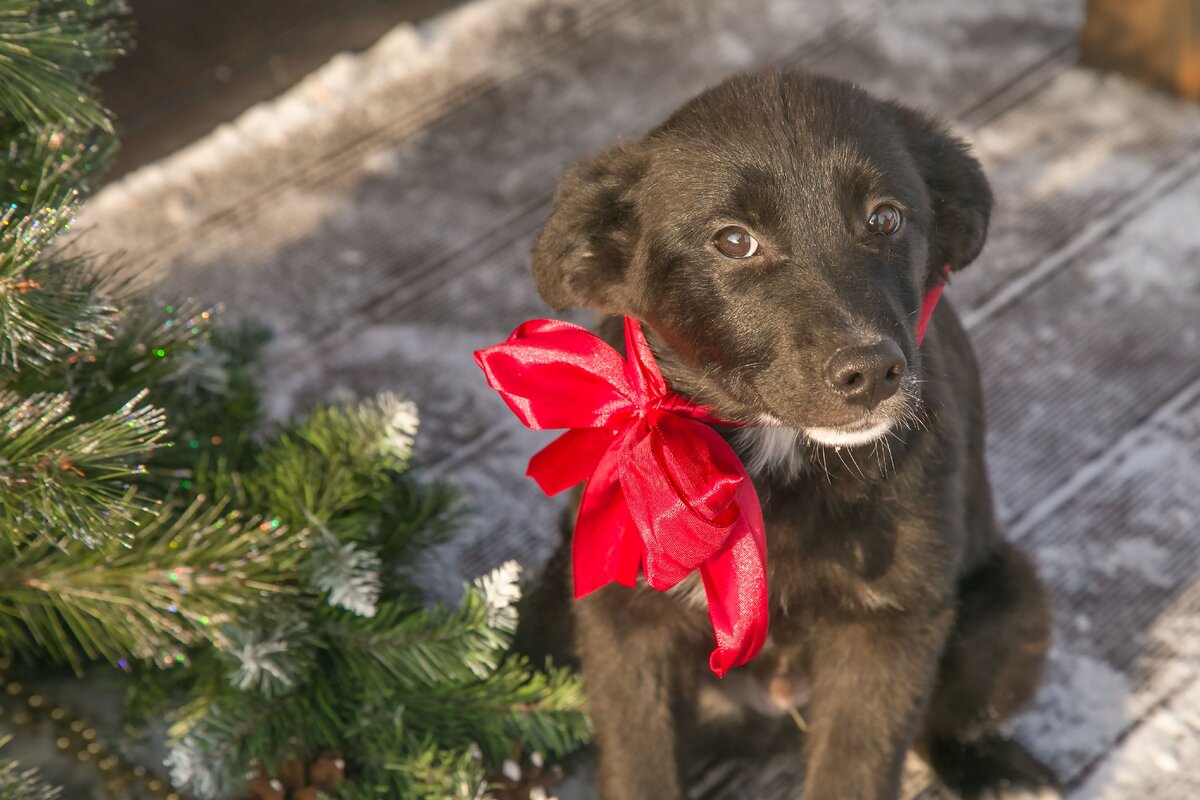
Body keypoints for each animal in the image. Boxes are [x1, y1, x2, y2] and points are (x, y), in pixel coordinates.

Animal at [525, 70, 1060, 800]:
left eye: (885, 218)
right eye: (734, 241)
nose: (873, 373)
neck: (776, 450)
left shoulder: (891, 626)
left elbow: (855, 768)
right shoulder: (623, 614)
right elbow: (639, 762)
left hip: (1010, 609)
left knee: (950, 715)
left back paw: (997, 771)